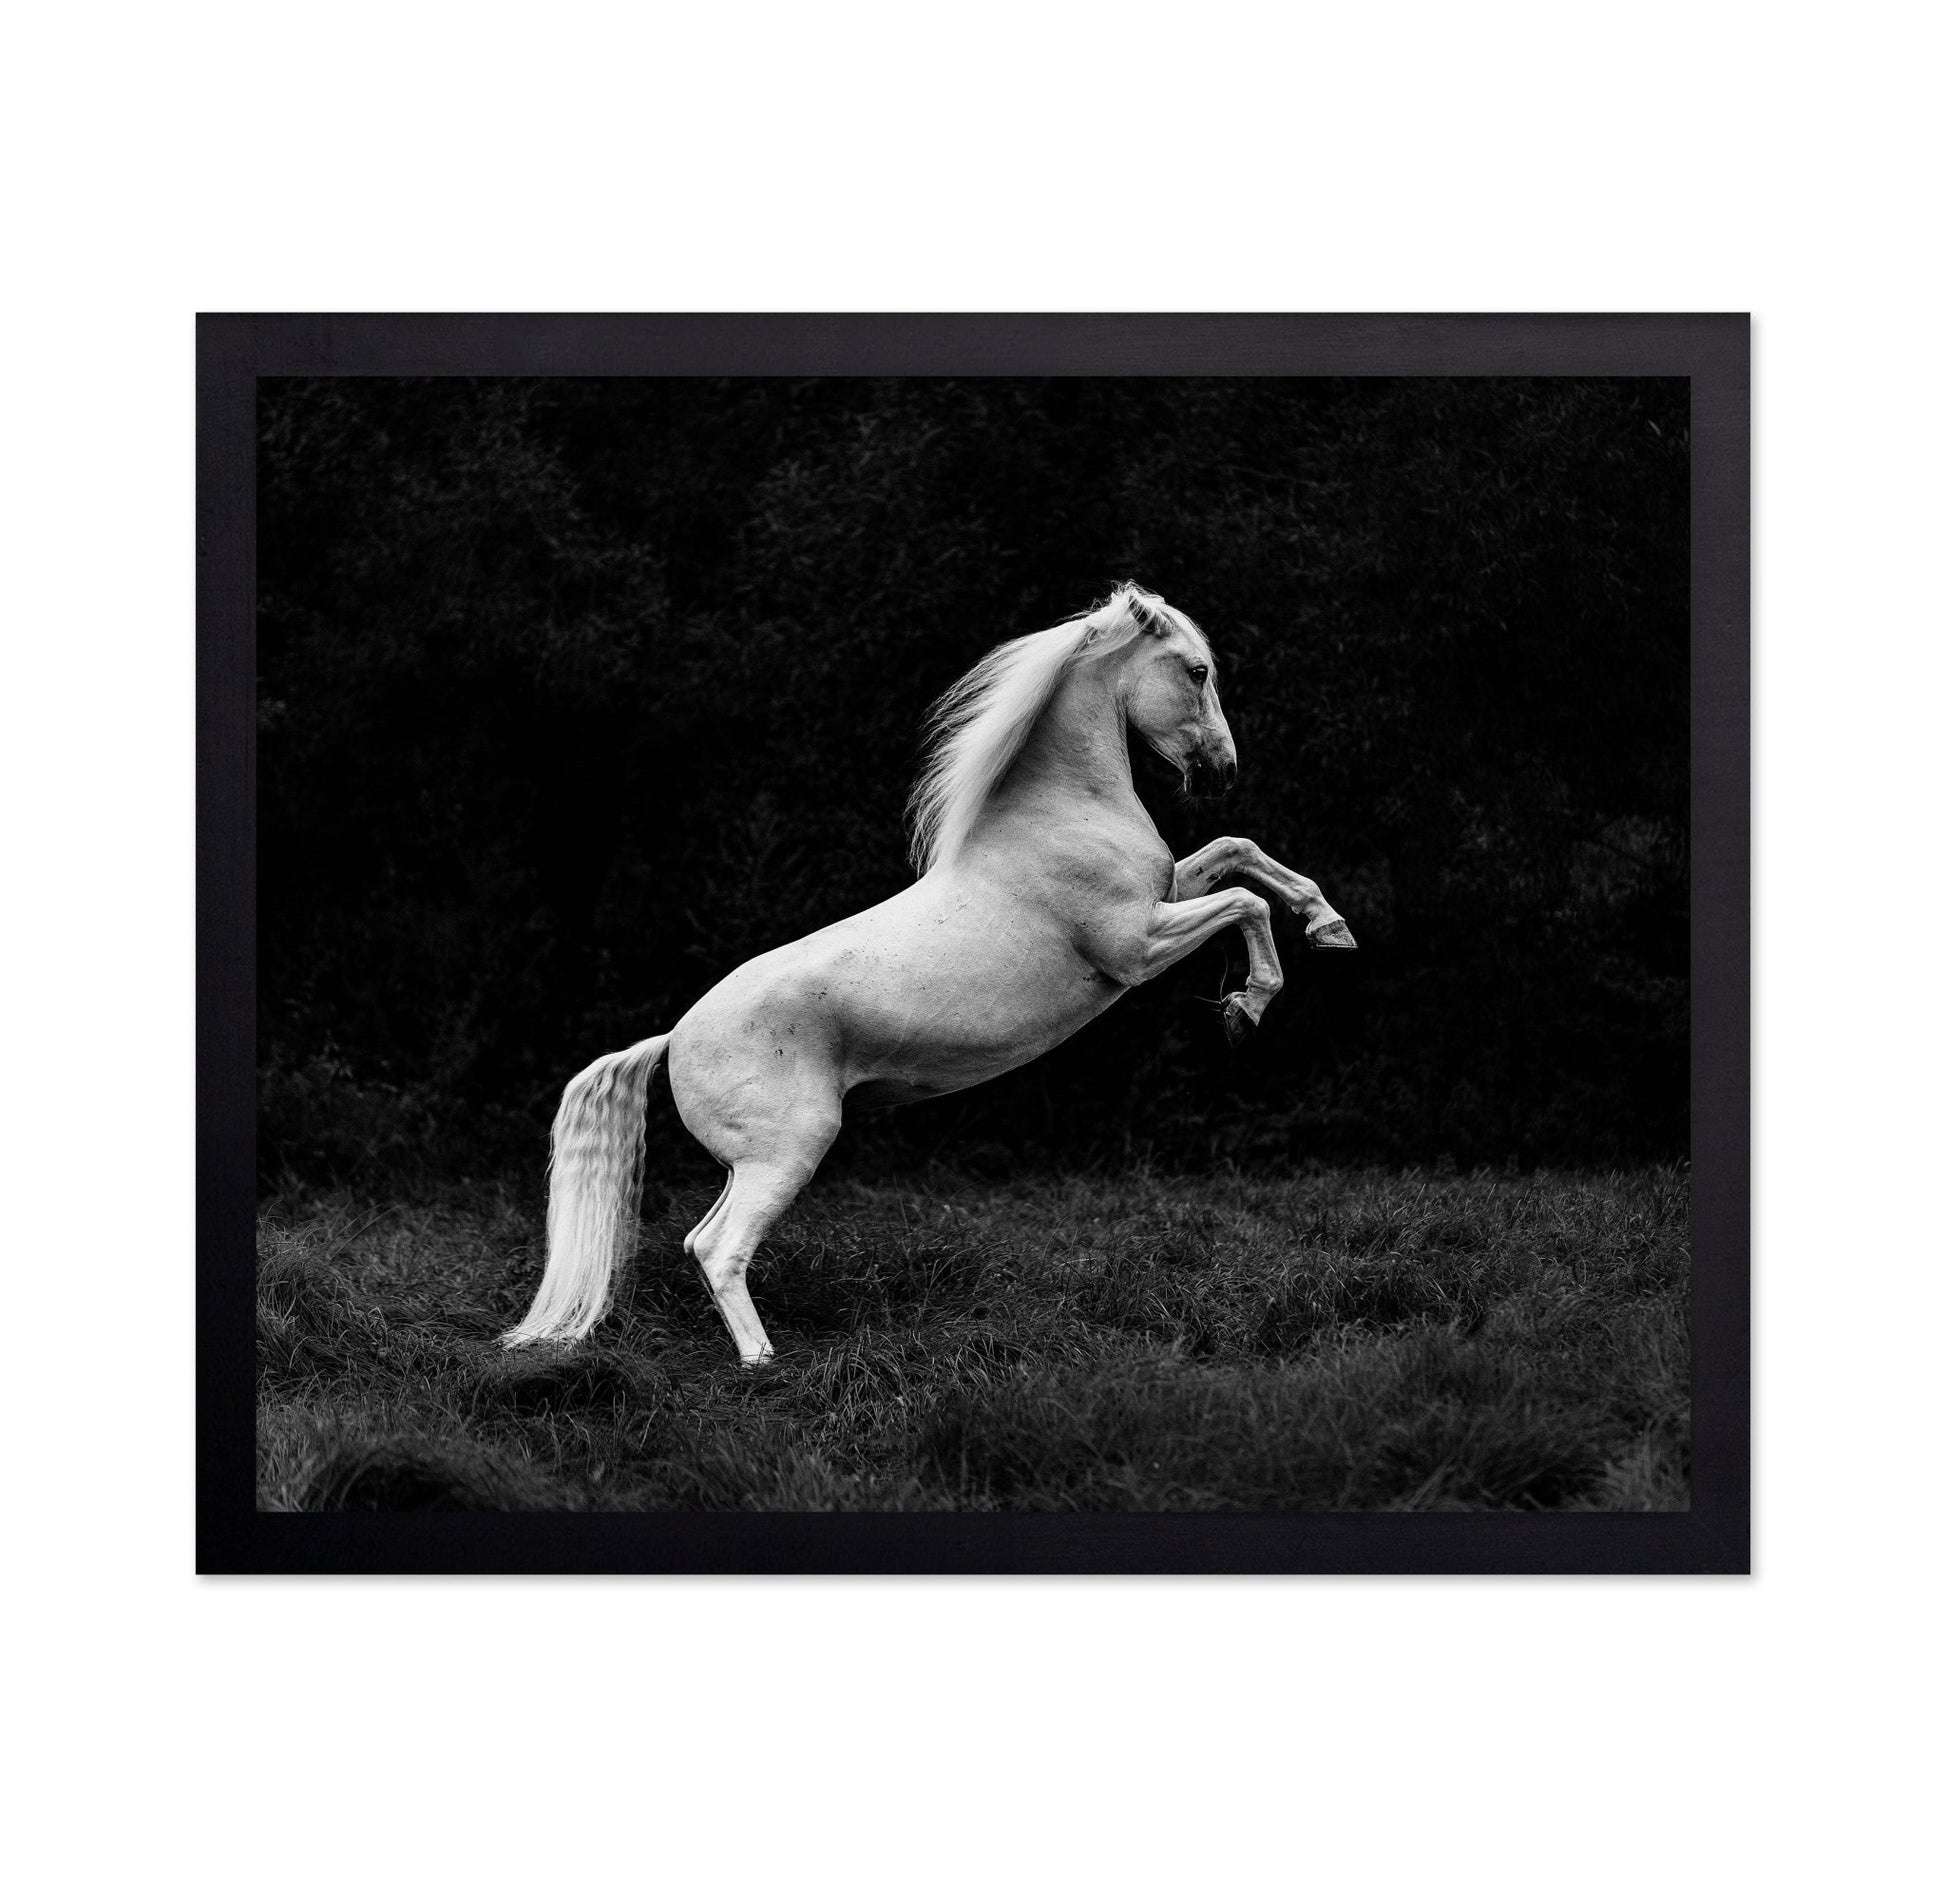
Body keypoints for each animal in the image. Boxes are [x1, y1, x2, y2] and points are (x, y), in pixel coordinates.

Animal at [502, 582, 1356, 1366]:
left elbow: (1239, 852)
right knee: (719, 1248)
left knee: (701, 1240)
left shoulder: (1167, 893)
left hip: (749, 1163)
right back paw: (764, 1363)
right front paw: (1249, 1005)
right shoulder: (1137, 945)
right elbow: (1245, 900)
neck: (1062, 814)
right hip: (787, 1150)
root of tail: (672, 1038)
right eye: (1197, 669)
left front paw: (1329, 926)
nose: (1223, 769)